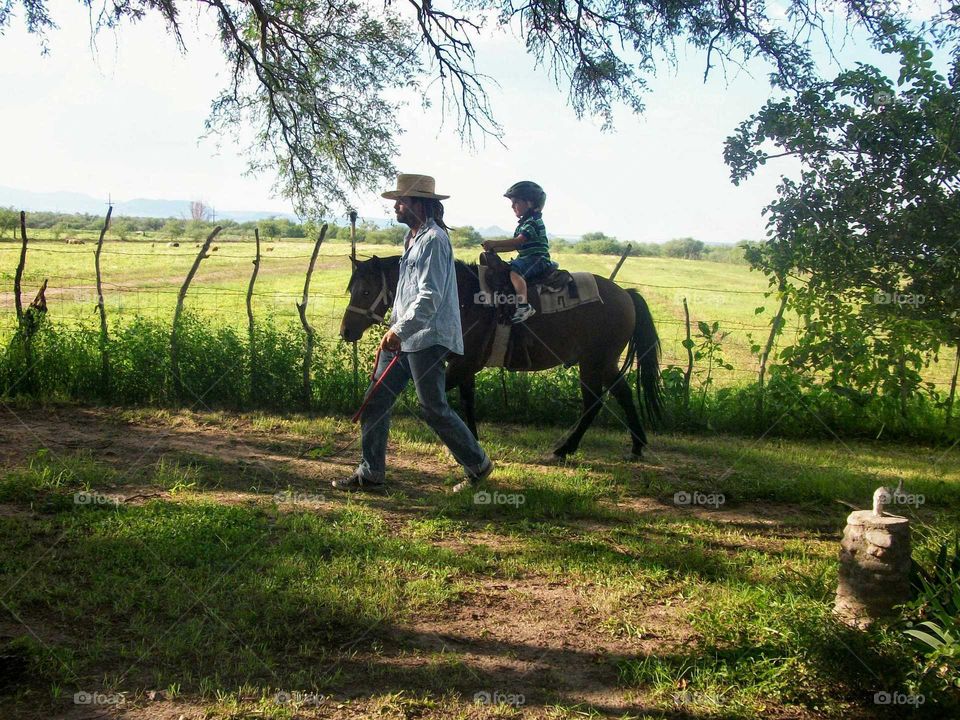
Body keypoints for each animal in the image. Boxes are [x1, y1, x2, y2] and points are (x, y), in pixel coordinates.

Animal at [342, 256, 664, 462]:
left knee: (593, 402)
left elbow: (445, 400)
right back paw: (636, 445)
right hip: (605, 363)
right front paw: (471, 440)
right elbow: (468, 400)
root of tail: (625, 294)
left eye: (367, 290)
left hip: (594, 363)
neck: (460, 297)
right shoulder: (465, 365)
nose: (346, 331)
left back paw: (564, 449)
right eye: (352, 289)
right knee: (623, 393)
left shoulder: (464, 365)